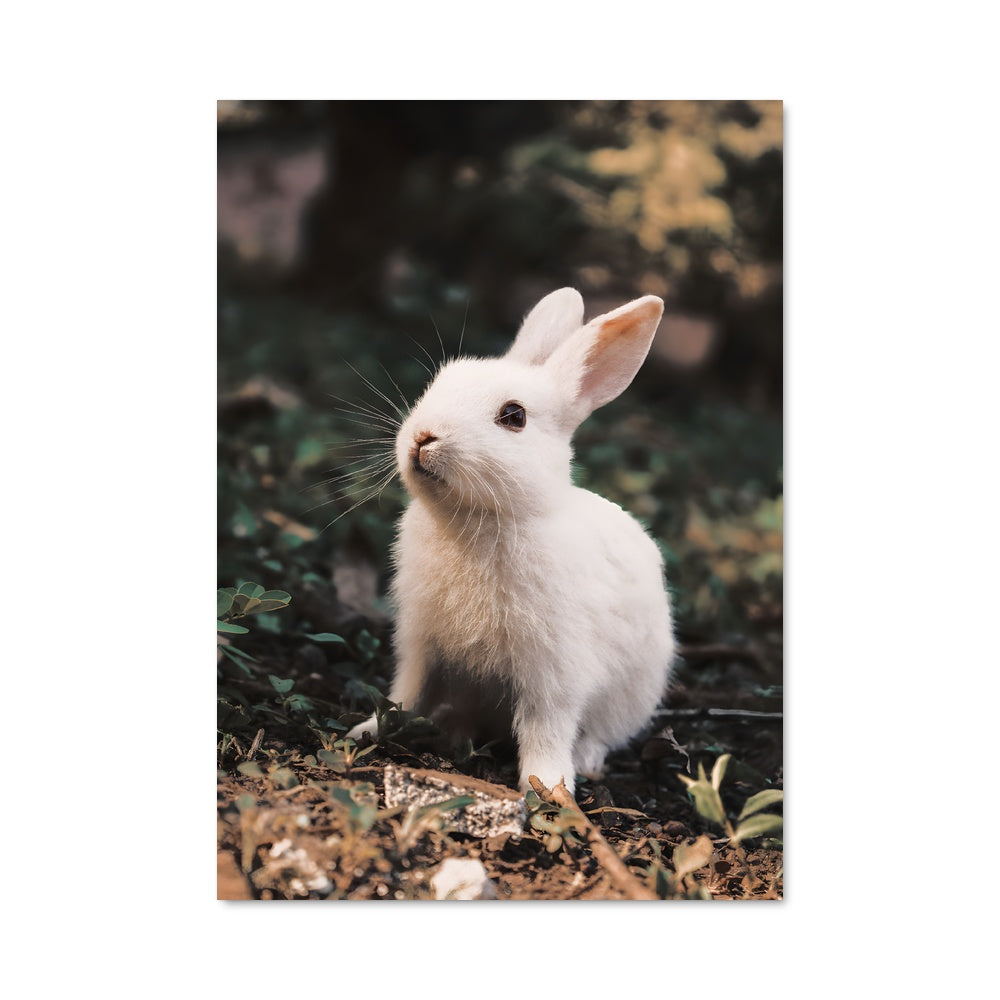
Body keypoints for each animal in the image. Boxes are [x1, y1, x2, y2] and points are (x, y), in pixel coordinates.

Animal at [347, 288, 676, 795]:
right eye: (440, 382)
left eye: (514, 416)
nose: (423, 437)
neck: (479, 520)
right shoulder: (420, 643)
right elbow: (406, 692)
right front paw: (367, 730)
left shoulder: (554, 669)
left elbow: (546, 725)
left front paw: (548, 786)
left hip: (632, 694)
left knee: (600, 733)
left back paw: (586, 762)